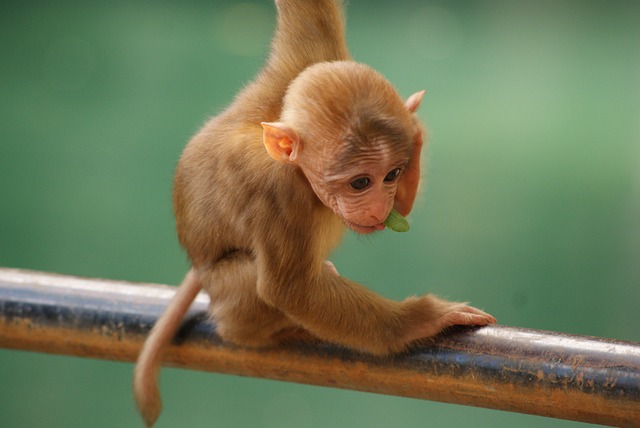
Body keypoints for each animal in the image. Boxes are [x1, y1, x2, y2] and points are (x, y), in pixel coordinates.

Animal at [134, 0, 496, 424]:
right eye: (360, 182)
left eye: (392, 174)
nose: (379, 206)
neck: (300, 173)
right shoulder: (278, 195)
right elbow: (291, 289)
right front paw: (421, 319)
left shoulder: (311, 60)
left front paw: (415, 128)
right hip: (225, 294)